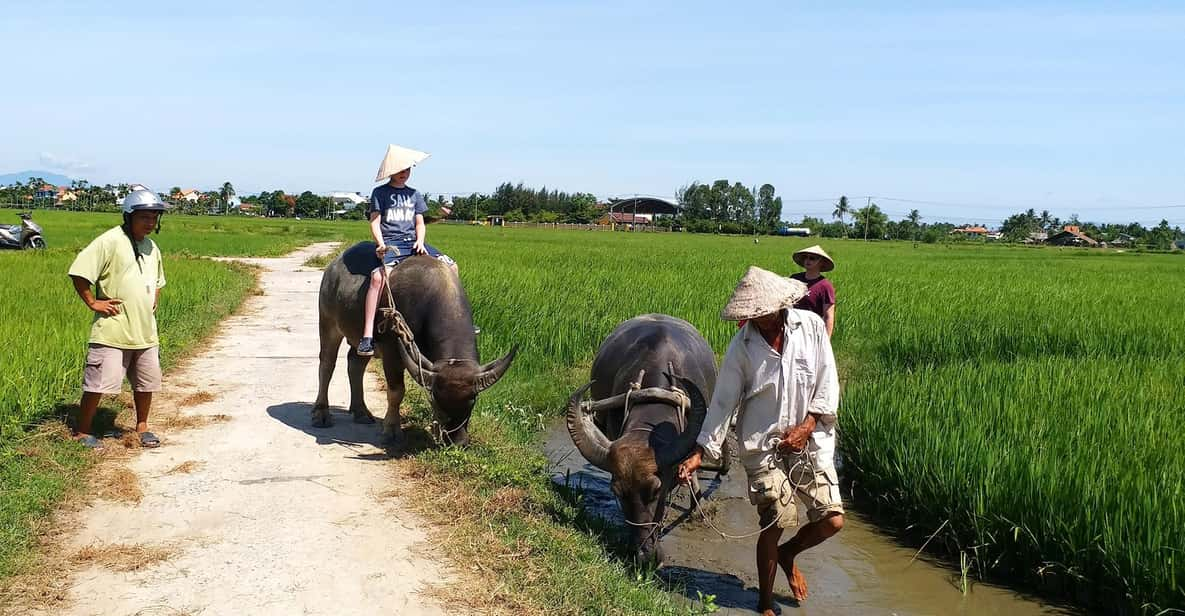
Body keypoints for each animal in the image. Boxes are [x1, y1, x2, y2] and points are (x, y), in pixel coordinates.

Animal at [312, 240, 516, 447]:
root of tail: (333, 267)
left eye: (472, 400)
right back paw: (321, 414)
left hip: (360, 338)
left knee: (355, 363)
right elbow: (396, 391)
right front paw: (392, 431)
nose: (456, 442)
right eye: (437, 400)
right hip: (328, 322)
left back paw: (360, 411)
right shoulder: (391, 351)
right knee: (327, 364)